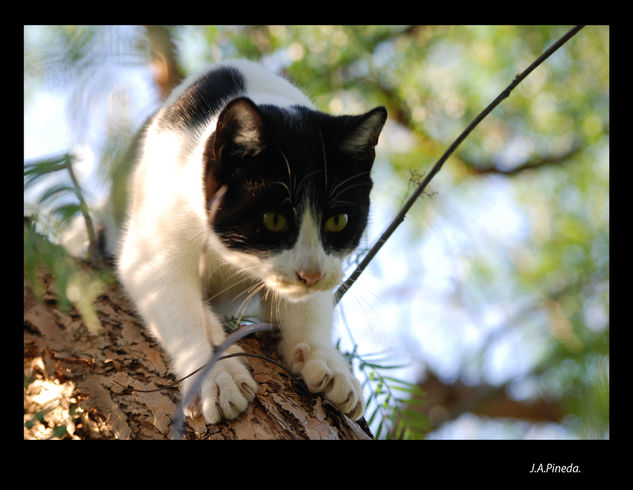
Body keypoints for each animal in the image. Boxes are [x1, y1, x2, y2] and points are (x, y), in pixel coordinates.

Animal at [116, 58, 388, 424]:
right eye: (274, 219)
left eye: (337, 221)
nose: (311, 274)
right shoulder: (150, 250)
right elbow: (182, 309)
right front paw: (218, 376)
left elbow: (311, 307)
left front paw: (326, 360)